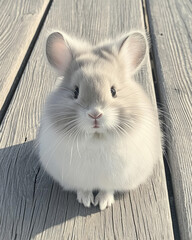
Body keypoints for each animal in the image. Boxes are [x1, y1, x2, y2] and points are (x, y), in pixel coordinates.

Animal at [38, 30, 162, 210]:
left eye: (113, 91)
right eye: (75, 92)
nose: (95, 114)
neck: (96, 137)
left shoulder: (112, 179)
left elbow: (107, 189)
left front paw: (103, 203)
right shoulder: (79, 178)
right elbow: (83, 189)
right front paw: (86, 201)